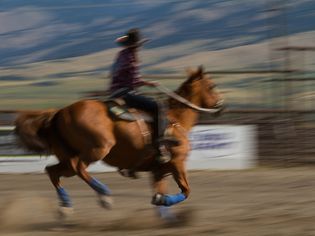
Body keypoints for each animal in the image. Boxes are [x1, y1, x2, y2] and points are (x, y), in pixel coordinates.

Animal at [14, 65, 225, 220]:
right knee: (78, 167)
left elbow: (160, 192)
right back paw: (104, 196)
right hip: (98, 148)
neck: (176, 120)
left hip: (66, 155)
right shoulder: (177, 163)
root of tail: (59, 113)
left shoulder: (159, 170)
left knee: (53, 171)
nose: (221, 106)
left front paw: (164, 209)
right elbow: (186, 190)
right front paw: (163, 202)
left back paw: (65, 207)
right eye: (212, 86)